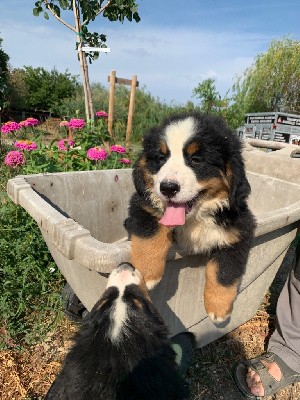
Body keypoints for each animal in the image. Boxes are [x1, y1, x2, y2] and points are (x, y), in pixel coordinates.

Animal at [124, 111, 255, 324]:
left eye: (196, 159)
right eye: (161, 158)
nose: (168, 188)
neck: (195, 218)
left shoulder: (238, 232)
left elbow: (224, 271)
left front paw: (219, 309)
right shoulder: (143, 206)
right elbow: (150, 236)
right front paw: (147, 272)